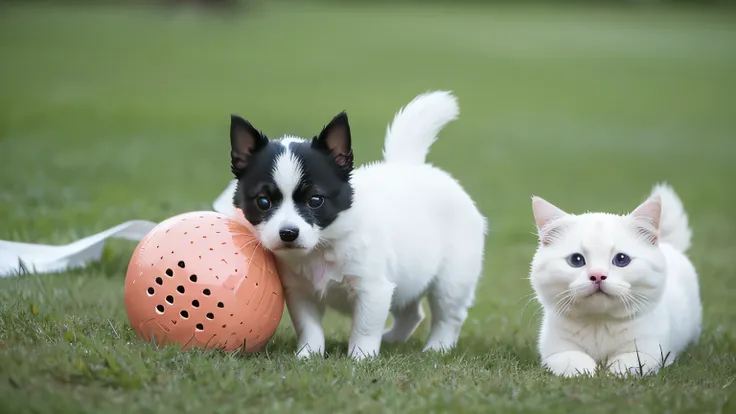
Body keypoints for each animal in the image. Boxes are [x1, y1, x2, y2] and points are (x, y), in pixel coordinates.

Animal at [227, 90, 486, 360]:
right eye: (263, 202)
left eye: (315, 200)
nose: (288, 233)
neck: (323, 247)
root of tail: (414, 165)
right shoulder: (300, 292)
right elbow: (309, 326)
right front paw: (308, 355)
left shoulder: (373, 289)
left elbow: (365, 327)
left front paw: (361, 358)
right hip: (410, 276)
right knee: (411, 313)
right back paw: (393, 340)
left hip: (453, 279)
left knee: (449, 315)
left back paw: (437, 347)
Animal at [528, 184, 700, 378]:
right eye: (576, 260)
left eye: (621, 259)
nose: (597, 275)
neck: (599, 324)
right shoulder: (556, 353)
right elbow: (575, 363)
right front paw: (589, 373)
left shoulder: (650, 353)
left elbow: (625, 366)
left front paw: (610, 373)